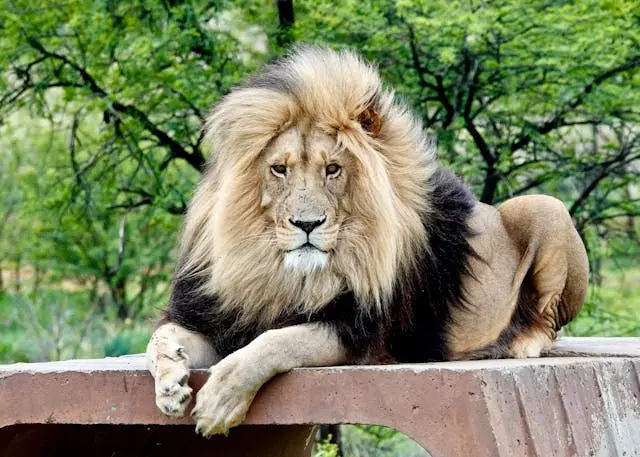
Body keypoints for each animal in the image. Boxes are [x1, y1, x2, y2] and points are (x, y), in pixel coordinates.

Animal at [145, 46, 589, 437]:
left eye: (333, 169)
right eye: (278, 169)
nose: (307, 224)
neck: (285, 275)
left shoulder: (361, 332)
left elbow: (276, 341)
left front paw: (220, 401)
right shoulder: (214, 316)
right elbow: (158, 340)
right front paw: (169, 385)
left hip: (547, 207)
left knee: (549, 325)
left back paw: (517, 343)